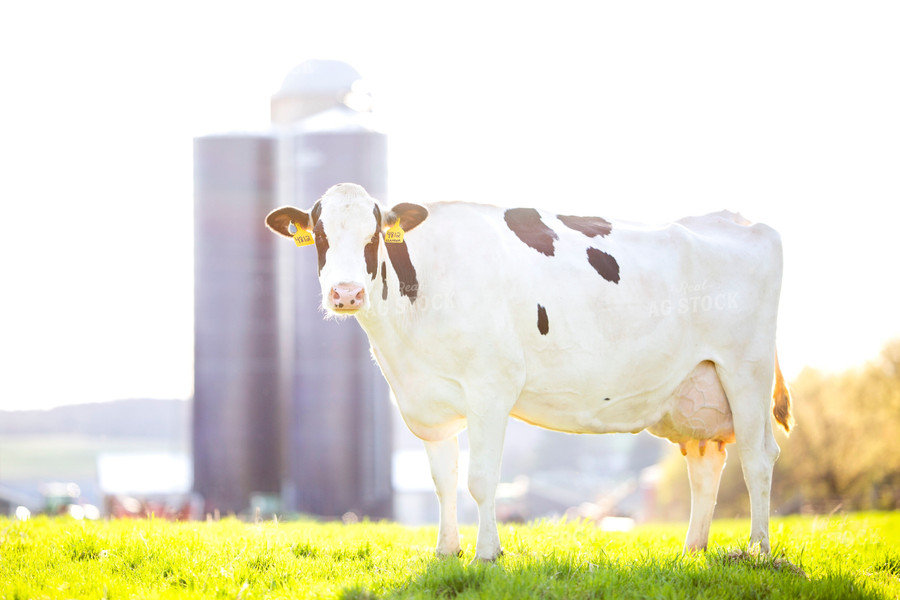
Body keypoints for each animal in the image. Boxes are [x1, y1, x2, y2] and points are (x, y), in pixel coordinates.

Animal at [264, 184, 792, 564]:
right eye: (321, 236)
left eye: (373, 236)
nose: (346, 293)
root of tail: (737, 219)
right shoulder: (428, 402)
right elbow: (443, 481)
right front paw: (446, 551)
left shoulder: (491, 387)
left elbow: (480, 479)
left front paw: (487, 554)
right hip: (698, 387)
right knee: (706, 463)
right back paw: (693, 550)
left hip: (745, 370)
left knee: (757, 458)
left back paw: (758, 551)